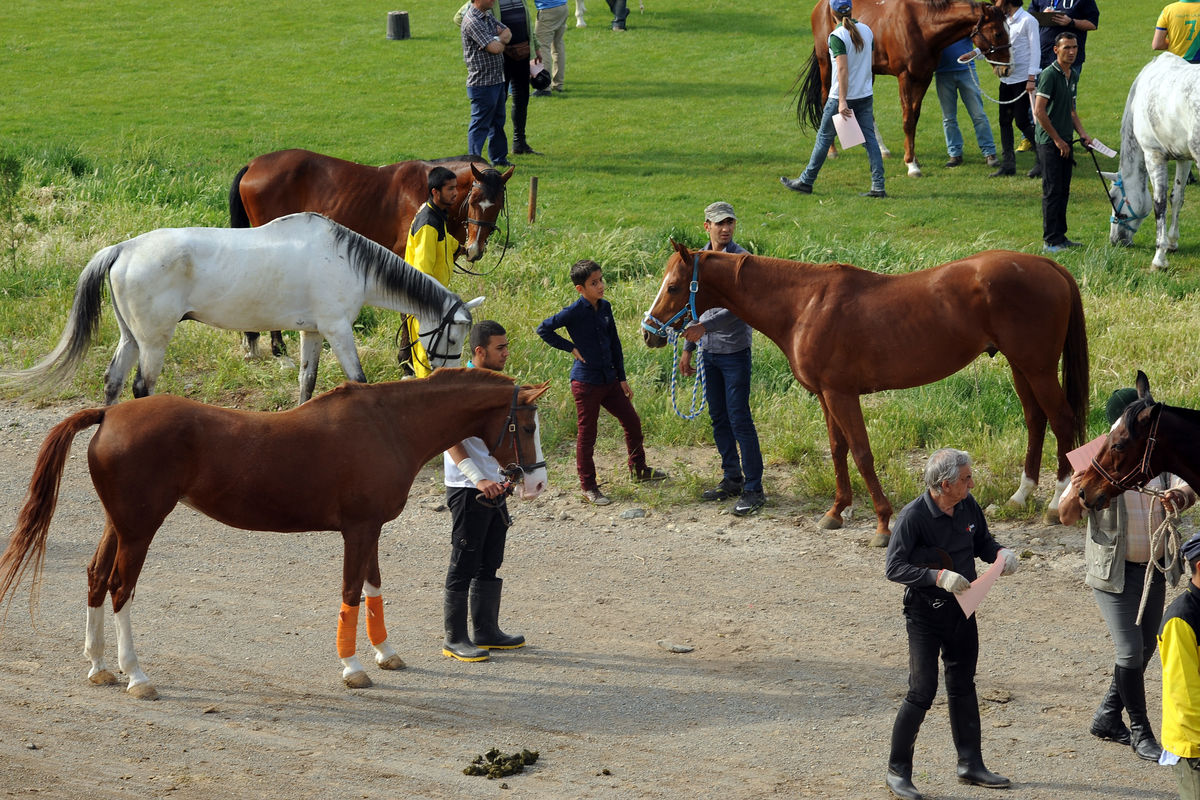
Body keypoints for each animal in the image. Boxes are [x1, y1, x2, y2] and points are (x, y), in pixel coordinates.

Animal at [0, 371, 549, 700]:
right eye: (524, 425)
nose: (537, 484)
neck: (388, 426)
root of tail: (109, 413)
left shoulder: (370, 529)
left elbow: (373, 588)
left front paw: (386, 654)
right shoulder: (358, 529)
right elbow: (352, 592)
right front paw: (352, 667)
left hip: (120, 523)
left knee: (95, 578)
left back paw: (98, 666)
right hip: (140, 529)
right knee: (119, 589)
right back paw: (136, 675)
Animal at [230, 151, 516, 357]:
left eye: (498, 204)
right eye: (475, 198)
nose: (474, 248)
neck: (426, 193)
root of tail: (253, 164)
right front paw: (406, 361)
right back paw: (278, 349)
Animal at [648, 241, 1089, 546]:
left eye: (674, 286)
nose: (648, 332)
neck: (805, 305)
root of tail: (1047, 265)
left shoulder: (842, 394)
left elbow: (861, 453)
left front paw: (881, 522)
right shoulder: (826, 395)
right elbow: (837, 449)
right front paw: (836, 511)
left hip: (1037, 368)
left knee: (1061, 420)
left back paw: (1055, 504)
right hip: (1021, 367)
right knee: (1036, 419)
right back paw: (1021, 495)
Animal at [806, 0, 1012, 176]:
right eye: (998, 33)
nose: (1007, 68)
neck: (921, 26)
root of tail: (821, 6)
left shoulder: (923, 78)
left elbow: (914, 116)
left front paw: (913, 158)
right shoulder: (904, 77)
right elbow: (907, 119)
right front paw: (911, 165)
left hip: (867, 71)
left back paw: (881, 149)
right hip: (827, 64)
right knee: (825, 100)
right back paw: (832, 150)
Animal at [1104, 53, 1200, 272]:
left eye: (1113, 197)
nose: (1115, 240)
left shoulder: (1153, 155)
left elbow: (1159, 203)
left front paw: (1159, 257)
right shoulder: (1184, 158)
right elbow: (1177, 198)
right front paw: (1172, 242)